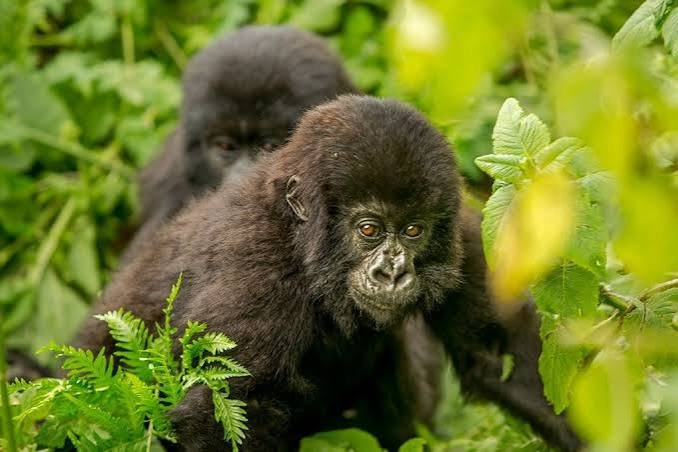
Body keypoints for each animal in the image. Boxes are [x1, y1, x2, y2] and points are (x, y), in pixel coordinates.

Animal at [75, 95, 581, 451]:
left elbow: (504, 356)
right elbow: (221, 412)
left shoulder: (465, 237)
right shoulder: (254, 271)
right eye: (369, 229)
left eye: (413, 230)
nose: (392, 274)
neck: (300, 240)